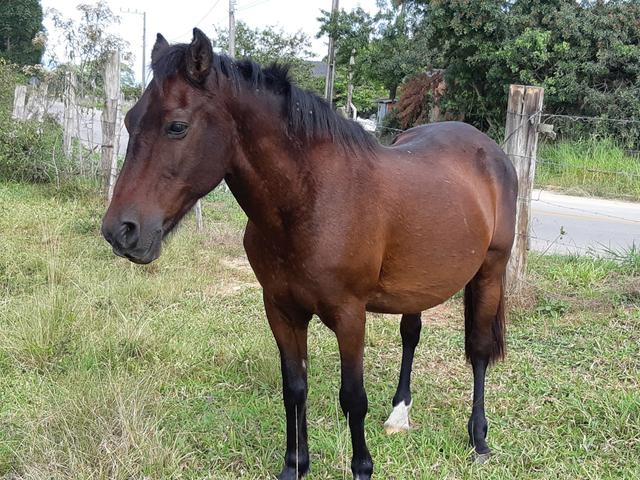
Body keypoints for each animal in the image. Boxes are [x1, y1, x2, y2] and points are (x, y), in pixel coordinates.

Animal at [101, 29, 517, 480]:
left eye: (177, 126)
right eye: (129, 120)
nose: (120, 231)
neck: (311, 200)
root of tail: (490, 150)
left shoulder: (350, 316)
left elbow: (353, 398)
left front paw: (361, 468)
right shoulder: (282, 310)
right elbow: (295, 387)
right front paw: (295, 464)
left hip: (490, 272)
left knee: (479, 350)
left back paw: (479, 438)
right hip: (419, 283)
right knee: (411, 334)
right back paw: (399, 414)